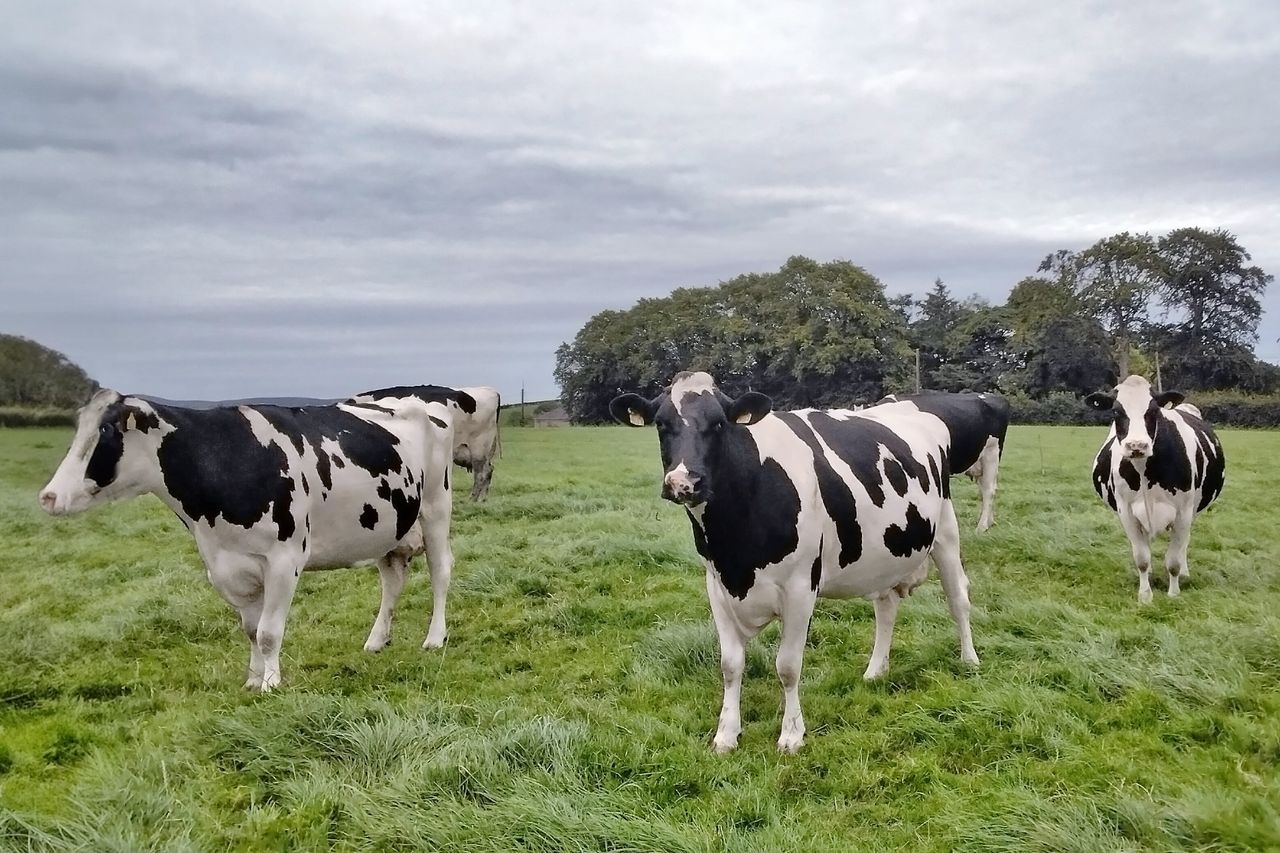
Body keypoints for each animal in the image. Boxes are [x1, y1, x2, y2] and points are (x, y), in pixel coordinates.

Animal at [38, 389, 457, 691]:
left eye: (105, 431)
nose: (48, 496)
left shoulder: (285, 560)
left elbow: (269, 632)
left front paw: (271, 682)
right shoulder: (227, 565)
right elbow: (251, 631)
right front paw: (253, 680)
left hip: (436, 507)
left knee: (440, 572)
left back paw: (435, 638)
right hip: (392, 525)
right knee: (393, 579)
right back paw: (376, 640)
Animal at [355, 385, 500, 501]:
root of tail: (491, 390)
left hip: (478, 447)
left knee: (481, 474)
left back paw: (472, 499)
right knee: (489, 470)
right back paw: (482, 498)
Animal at [611, 371, 979, 753]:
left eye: (719, 423)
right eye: (661, 424)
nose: (684, 482)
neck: (736, 550)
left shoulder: (801, 587)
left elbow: (787, 665)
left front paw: (791, 735)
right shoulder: (716, 585)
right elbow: (730, 664)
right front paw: (726, 734)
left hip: (946, 531)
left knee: (958, 599)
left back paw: (969, 660)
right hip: (884, 555)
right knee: (886, 606)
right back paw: (876, 670)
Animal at [1086, 375, 1225, 603]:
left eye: (1153, 411)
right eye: (1116, 411)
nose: (1137, 445)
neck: (1145, 473)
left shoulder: (1183, 512)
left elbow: (1174, 560)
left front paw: (1173, 593)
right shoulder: (1127, 512)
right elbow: (1141, 557)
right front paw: (1145, 595)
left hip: (1194, 511)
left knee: (1184, 543)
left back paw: (1185, 573)